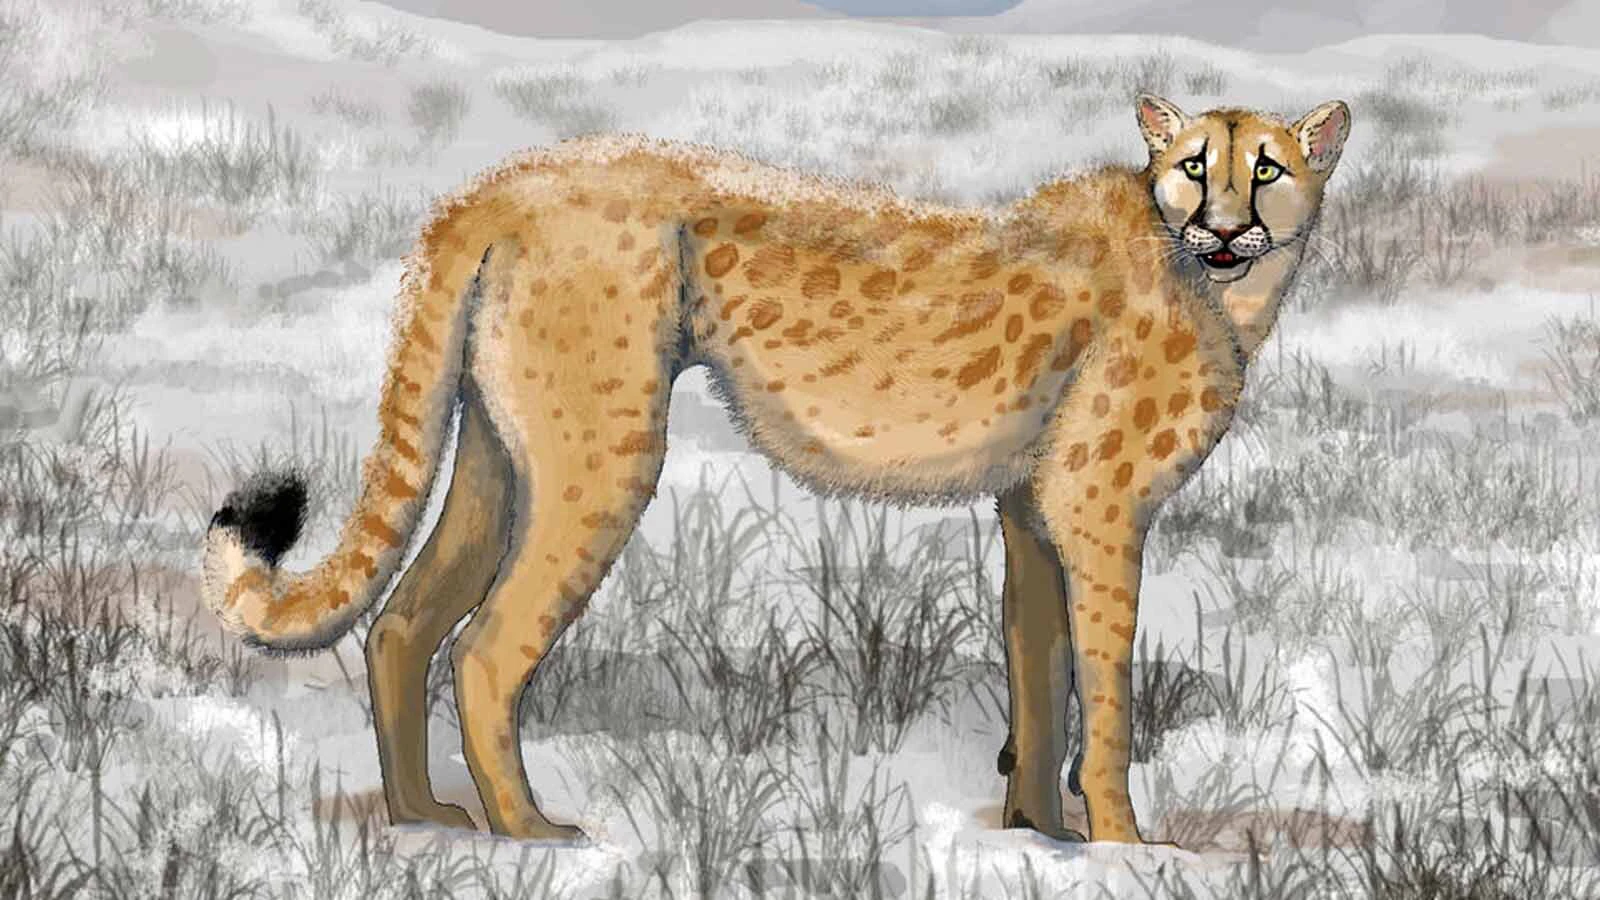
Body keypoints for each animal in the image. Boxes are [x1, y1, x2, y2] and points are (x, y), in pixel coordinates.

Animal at [201, 93, 1350, 845]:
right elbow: (1102, 691)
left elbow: (1038, 668)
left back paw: (424, 824)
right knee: (483, 648)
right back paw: (532, 834)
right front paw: (1123, 846)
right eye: (1197, 165)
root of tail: (503, 179)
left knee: (401, 622)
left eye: (1267, 167)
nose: (1226, 223)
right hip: (602, 455)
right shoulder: (1095, 509)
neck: (1214, 282)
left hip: (495, 445)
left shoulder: (1029, 508)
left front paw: (1040, 836)